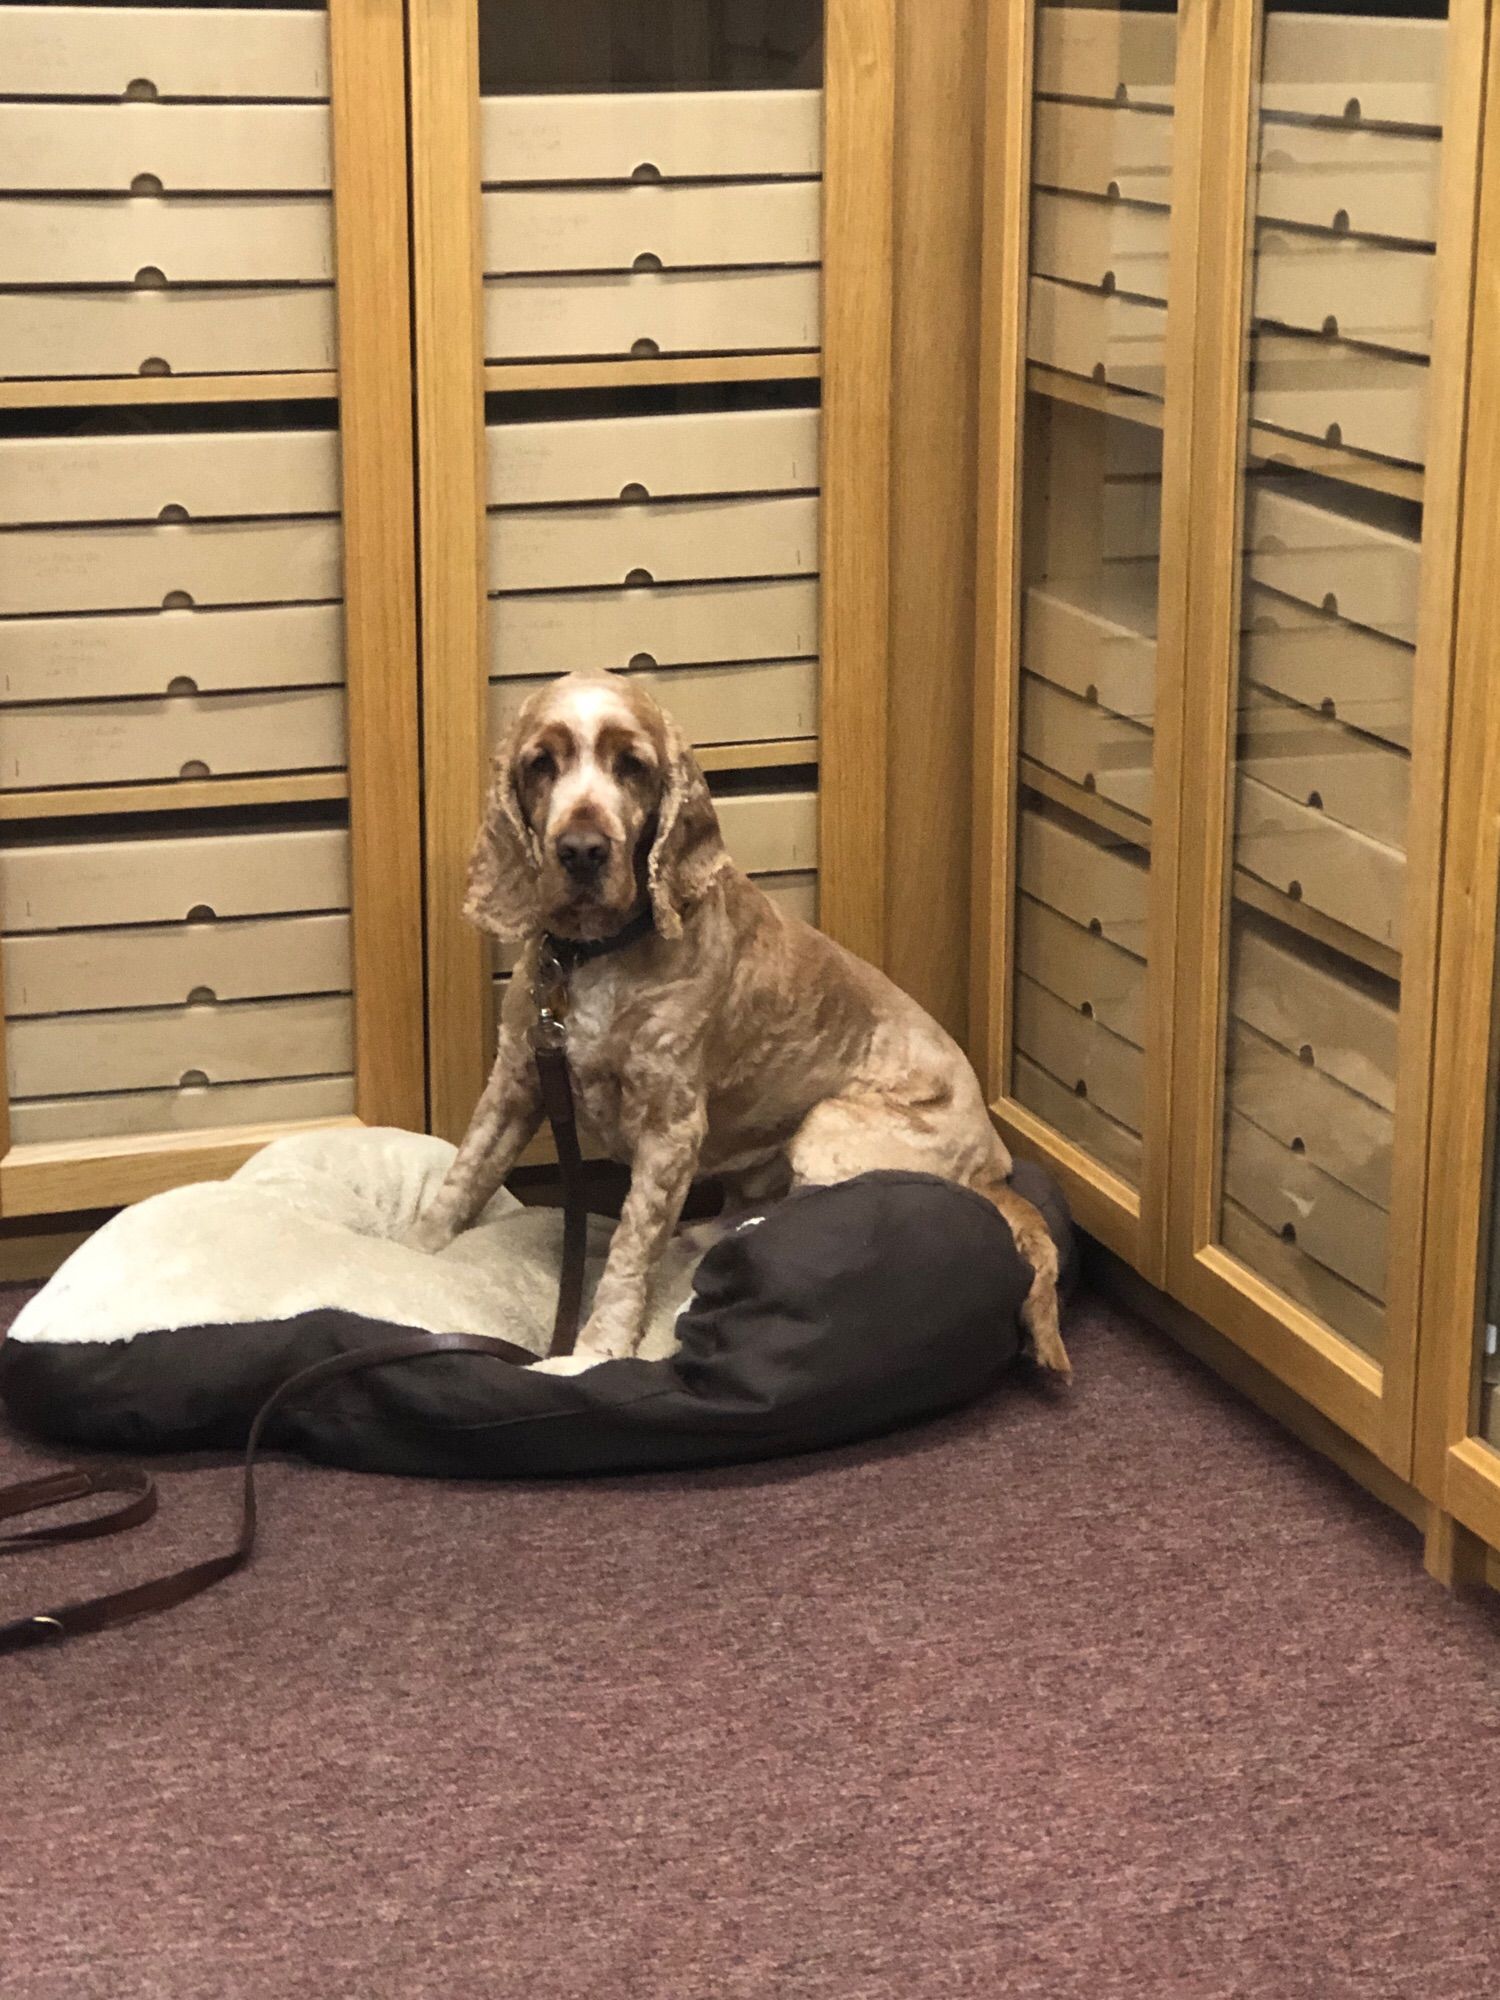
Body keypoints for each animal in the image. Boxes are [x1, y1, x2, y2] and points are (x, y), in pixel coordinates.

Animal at [412, 672, 1072, 1376]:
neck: (596, 955)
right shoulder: (518, 1081)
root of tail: (996, 1166)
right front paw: (410, 1253)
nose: (583, 850)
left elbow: (628, 1252)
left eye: (632, 765)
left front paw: (596, 1350)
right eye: (540, 763)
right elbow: (462, 1181)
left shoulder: (671, 1127)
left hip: (829, 1128)